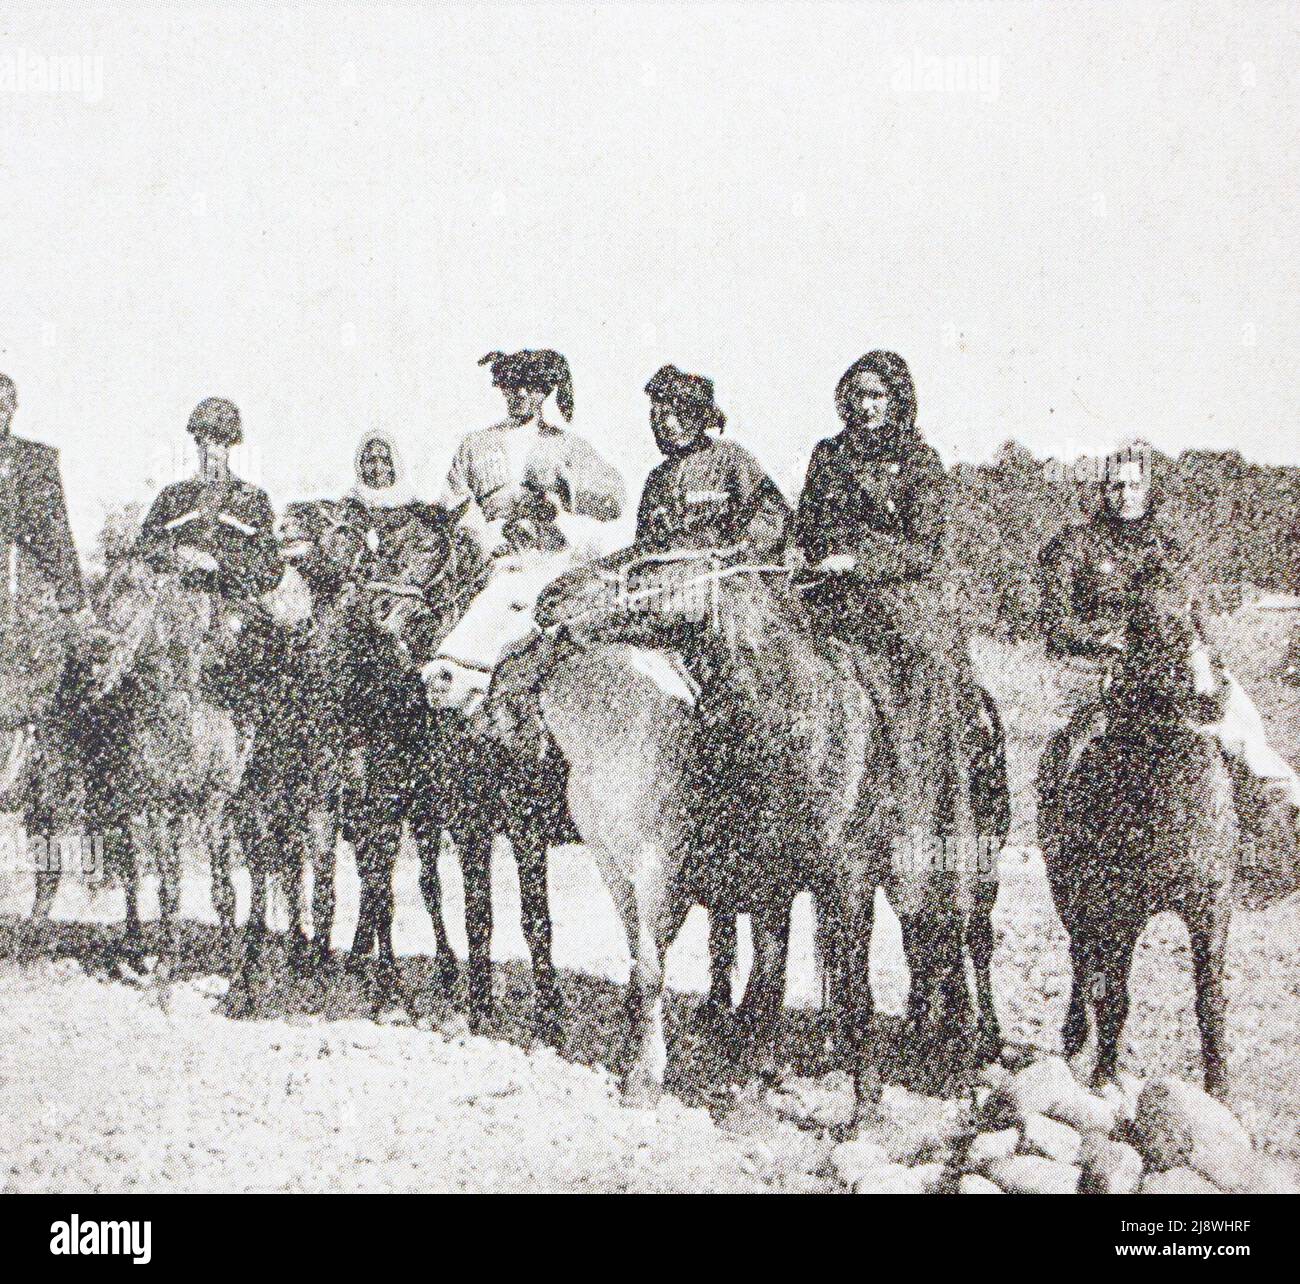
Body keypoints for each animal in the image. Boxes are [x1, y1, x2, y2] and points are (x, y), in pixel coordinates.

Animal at [1045, 577, 1237, 1096]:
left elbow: (1210, 1002)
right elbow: (1114, 995)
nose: (1205, 693)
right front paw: (1104, 1076)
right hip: (1069, 894)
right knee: (1081, 959)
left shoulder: (1211, 909)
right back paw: (1074, 1035)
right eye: (1144, 625)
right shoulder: (1119, 910)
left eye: (1198, 619)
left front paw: (1218, 1089)